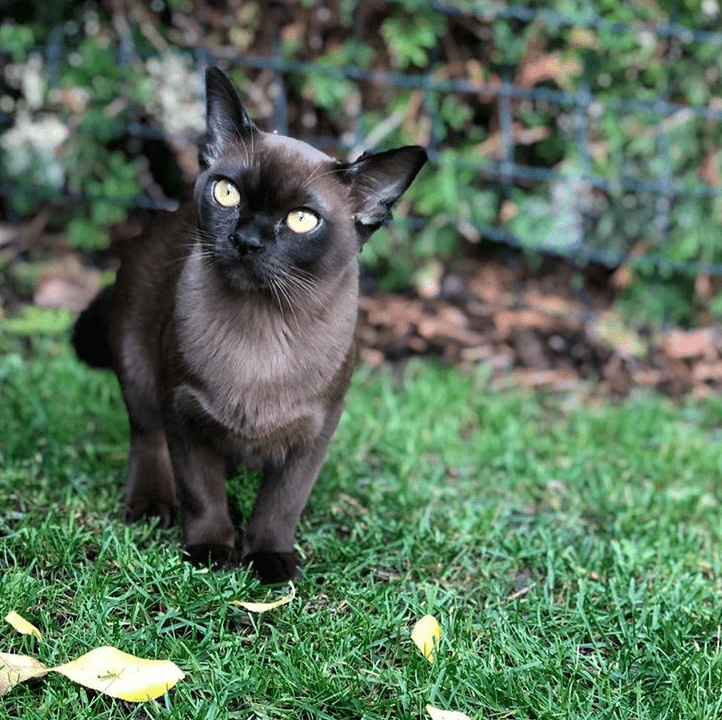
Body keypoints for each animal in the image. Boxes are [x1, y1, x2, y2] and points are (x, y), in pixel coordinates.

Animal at [70, 67, 424, 584]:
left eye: (302, 220)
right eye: (227, 193)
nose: (246, 240)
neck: (262, 331)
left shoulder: (315, 431)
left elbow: (282, 504)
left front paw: (269, 562)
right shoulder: (184, 414)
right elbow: (201, 493)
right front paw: (210, 551)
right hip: (137, 366)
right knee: (146, 436)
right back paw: (153, 506)